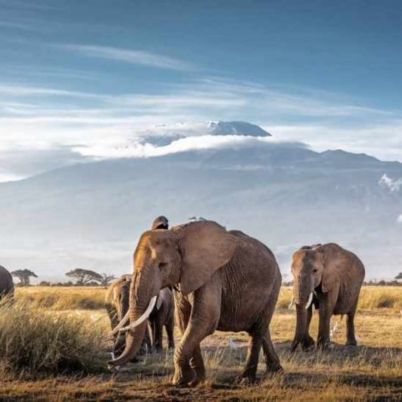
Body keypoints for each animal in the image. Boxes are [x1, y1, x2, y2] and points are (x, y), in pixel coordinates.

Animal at [108, 220, 282, 386]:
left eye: (162, 265)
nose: (110, 363)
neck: (176, 234)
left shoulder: (212, 274)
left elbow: (205, 319)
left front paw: (179, 381)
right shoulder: (183, 277)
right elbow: (185, 321)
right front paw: (197, 380)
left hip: (274, 285)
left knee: (257, 330)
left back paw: (245, 380)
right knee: (261, 328)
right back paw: (275, 372)